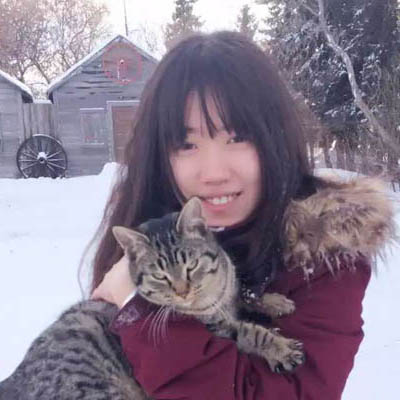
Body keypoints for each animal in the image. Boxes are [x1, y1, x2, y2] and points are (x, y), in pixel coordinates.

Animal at [0, 197, 303, 400]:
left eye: (191, 266)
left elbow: (244, 292)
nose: (182, 291)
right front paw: (281, 347)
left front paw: (274, 301)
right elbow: (249, 332)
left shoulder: (229, 289)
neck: (213, 295)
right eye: (160, 276)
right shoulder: (214, 328)